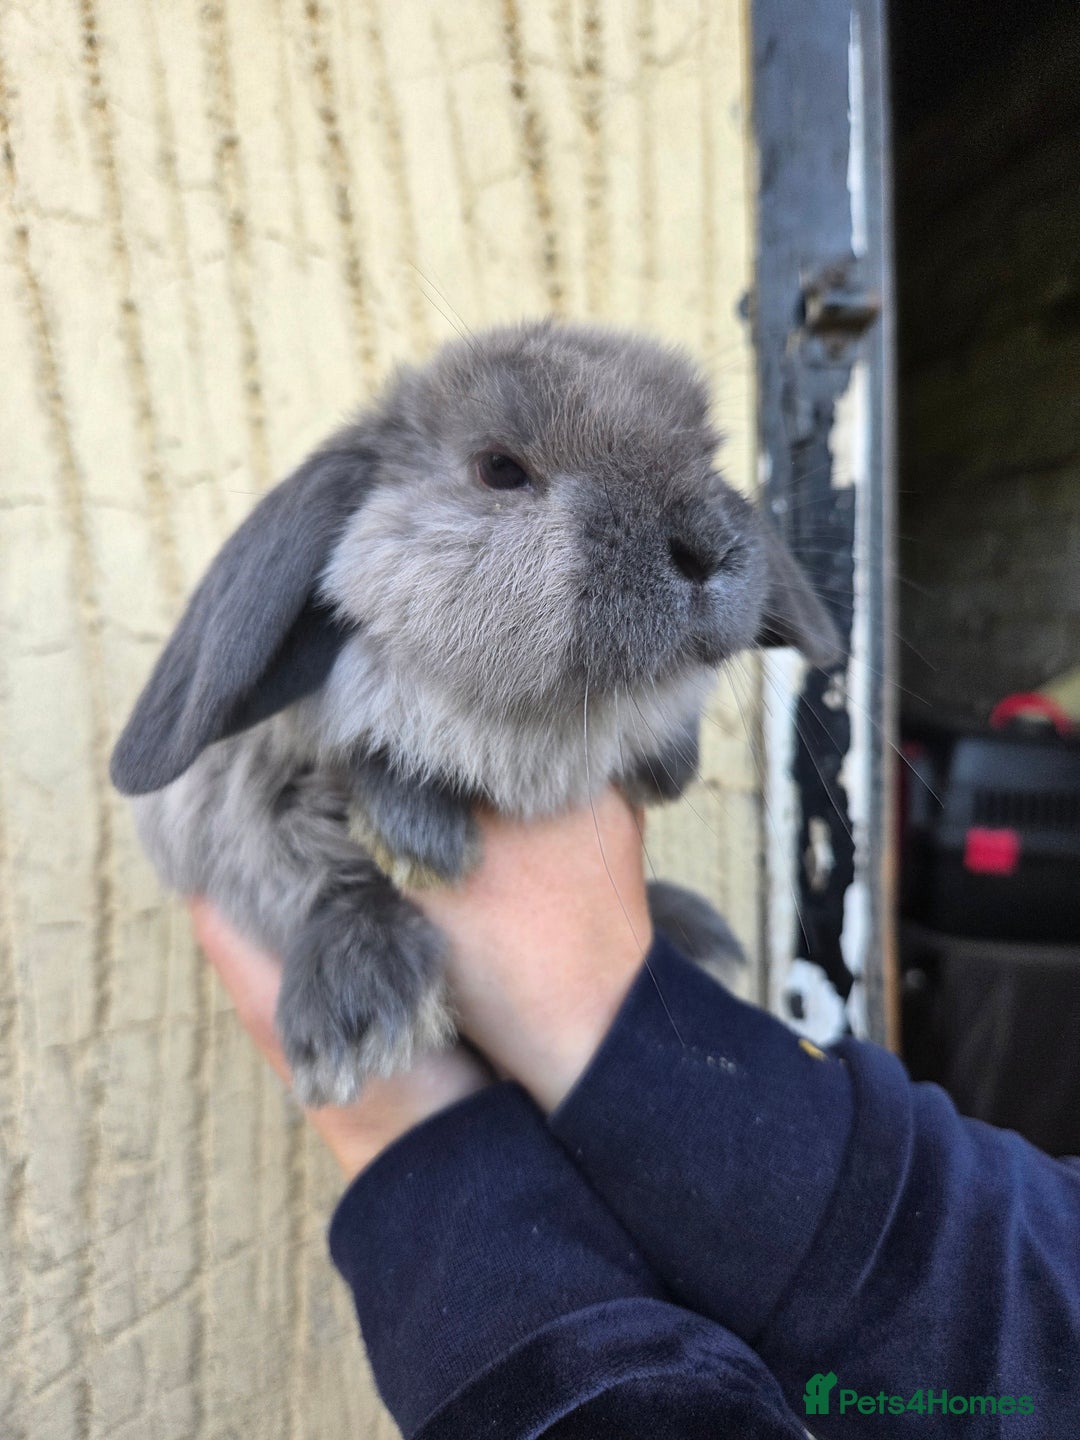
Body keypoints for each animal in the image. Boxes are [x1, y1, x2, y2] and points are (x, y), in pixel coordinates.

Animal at [111, 320, 841, 1106]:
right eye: (499, 469)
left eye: (708, 456)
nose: (708, 548)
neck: (530, 731)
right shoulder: (233, 803)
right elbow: (322, 842)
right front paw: (417, 841)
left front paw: (669, 769)